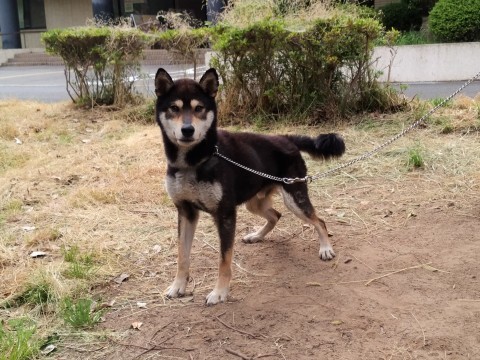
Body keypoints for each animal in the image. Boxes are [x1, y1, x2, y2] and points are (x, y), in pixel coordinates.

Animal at [154, 67, 344, 304]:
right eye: (174, 108)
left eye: (199, 108)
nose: (187, 130)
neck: (194, 161)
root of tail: (286, 138)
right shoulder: (186, 212)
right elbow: (182, 255)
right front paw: (178, 286)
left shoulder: (225, 215)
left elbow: (224, 260)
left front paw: (220, 292)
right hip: (254, 203)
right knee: (276, 215)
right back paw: (257, 236)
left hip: (294, 198)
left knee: (319, 220)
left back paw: (325, 248)